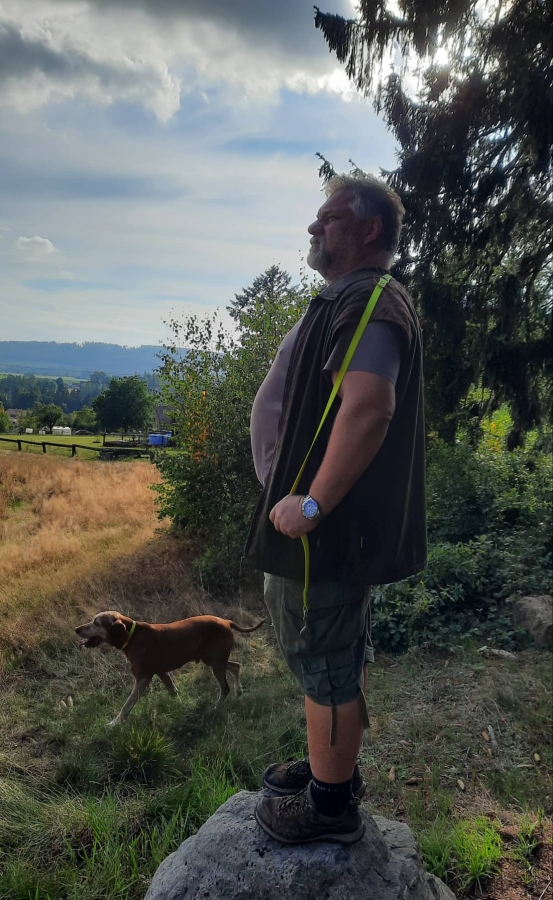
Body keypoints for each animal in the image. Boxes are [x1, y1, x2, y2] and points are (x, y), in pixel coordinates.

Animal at [75, 610, 266, 726]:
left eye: (96, 622)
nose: (76, 629)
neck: (132, 635)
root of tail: (226, 621)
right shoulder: (161, 672)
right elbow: (174, 692)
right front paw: (180, 707)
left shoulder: (143, 678)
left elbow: (126, 706)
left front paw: (114, 724)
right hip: (212, 659)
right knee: (236, 666)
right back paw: (239, 691)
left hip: (216, 662)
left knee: (225, 687)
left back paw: (216, 708)